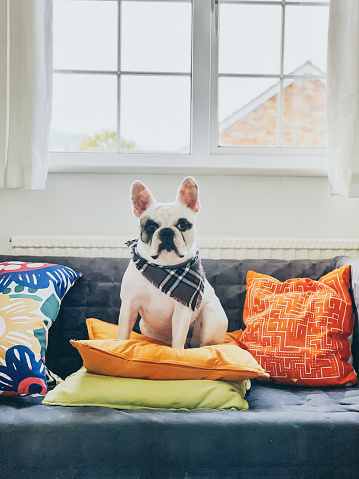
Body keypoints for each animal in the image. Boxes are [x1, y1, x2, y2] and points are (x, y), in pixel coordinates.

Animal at [118, 178, 228, 350]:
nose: (166, 231)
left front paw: (177, 354)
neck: (164, 267)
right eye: (151, 227)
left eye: (182, 225)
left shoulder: (182, 310)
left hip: (212, 317)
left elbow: (178, 339)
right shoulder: (129, 305)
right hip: (144, 326)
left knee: (203, 344)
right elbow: (123, 333)